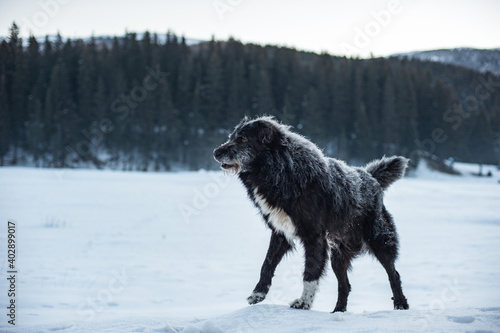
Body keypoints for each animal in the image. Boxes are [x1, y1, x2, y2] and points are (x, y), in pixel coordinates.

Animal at [213, 116, 408, 312]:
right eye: (231, 137)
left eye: (242, 139)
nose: (215, 152)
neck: (281, 170)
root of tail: (370, 177)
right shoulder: (281, 233)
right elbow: (267, 264)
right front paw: (258, 293)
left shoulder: (314, 237)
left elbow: (310, 273)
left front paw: (304, 302)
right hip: (338, 255)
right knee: (345, 285)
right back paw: (338, 310)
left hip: (379, 241)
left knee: (394, 273)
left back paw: (400, 303)